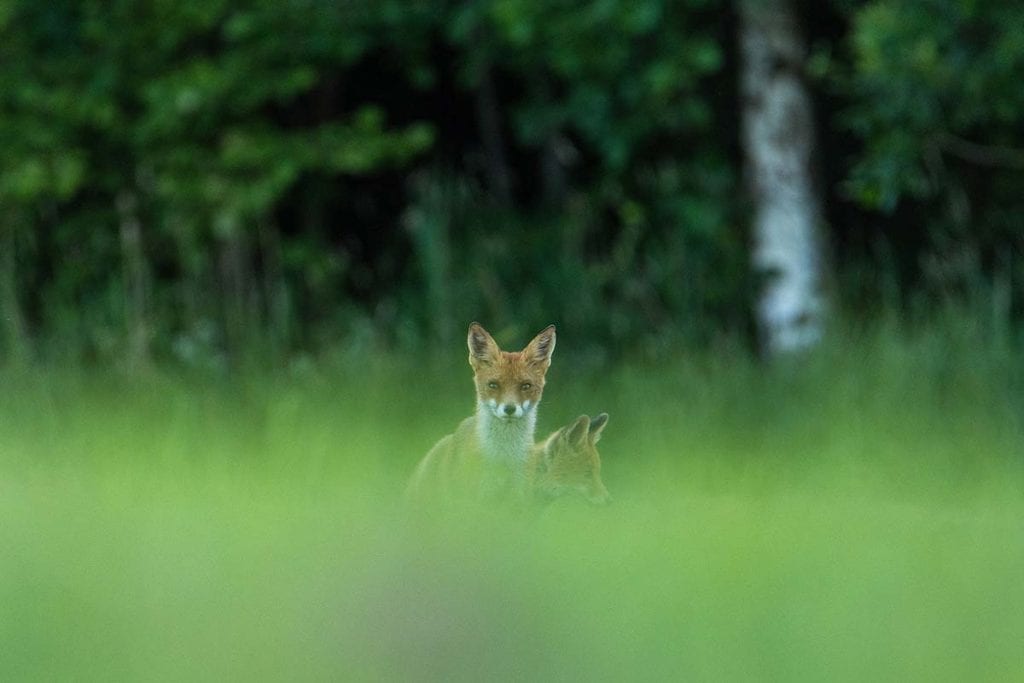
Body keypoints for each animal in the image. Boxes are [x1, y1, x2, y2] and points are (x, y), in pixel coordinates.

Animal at [403, 321, 557, 501]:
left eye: (526, 386)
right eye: (493, 385)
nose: (509, 409)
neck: (503, 457)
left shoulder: (518, 496)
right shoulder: (475, 498)